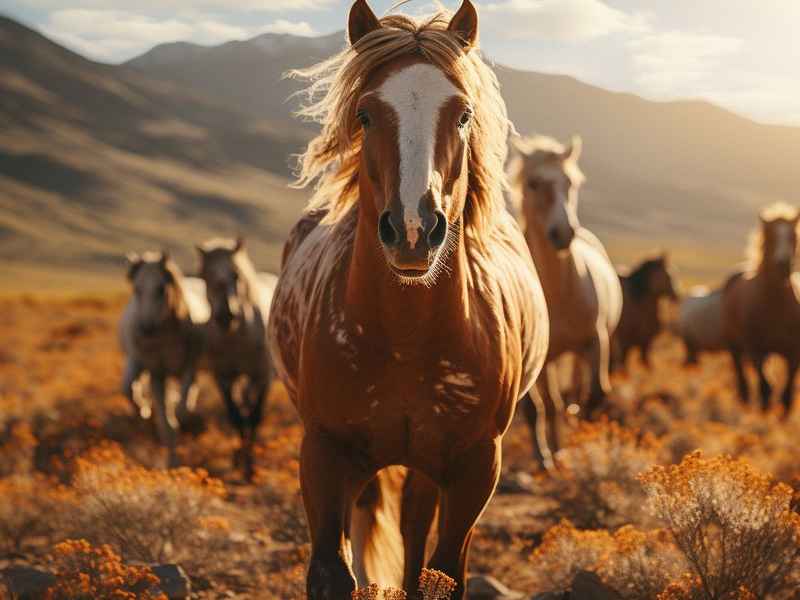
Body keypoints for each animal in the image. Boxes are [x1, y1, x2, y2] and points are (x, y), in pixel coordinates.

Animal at [119, 251, 209, 467]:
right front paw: (172, 462)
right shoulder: (157, 374)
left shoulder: (188, 367)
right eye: (137, 288)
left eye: (161, 289)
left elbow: (180, 410)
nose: (146, 329)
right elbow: (166, 425)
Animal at [196, 237, 277, 480]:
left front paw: (250, 468)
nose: (225, 316)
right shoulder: (223, 377)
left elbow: (254, 417)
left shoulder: (263, 376)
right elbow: (236, 416)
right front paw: (239, 462)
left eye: (236, 274)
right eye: (205, 275)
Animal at [267, 2, 548, 597]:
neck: (405, 336)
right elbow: (331, 571)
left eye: (463, 114)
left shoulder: (475, 468)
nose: (414, 231)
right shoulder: (323, 453)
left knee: (415, 529)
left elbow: (440, 571)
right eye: (366, 115)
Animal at [507, 134, 622, 468]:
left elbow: (594, 396)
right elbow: (541, 407)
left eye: (571, 182)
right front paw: (546, 457)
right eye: (533, 183)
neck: (559, 295)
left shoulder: (596, 342)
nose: (564, 232)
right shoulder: (539, 359)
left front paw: (585, 445)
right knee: (553, 403)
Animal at [723, 203, 800, 416]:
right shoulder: (756, 349)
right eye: (771, 236)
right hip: (735, 346)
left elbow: (787, 393)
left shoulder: (793, 352)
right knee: (742, 378)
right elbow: (765, 388)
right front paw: (764, 414)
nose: (783, 265)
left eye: (793, 236)